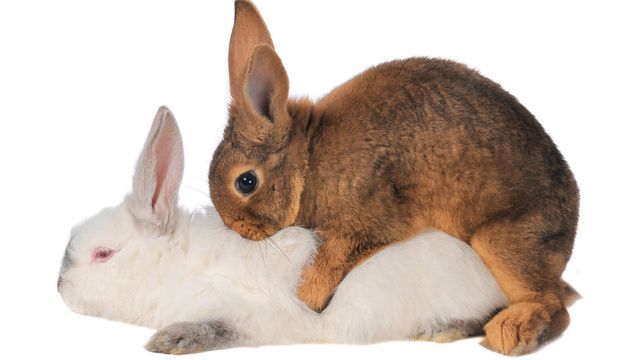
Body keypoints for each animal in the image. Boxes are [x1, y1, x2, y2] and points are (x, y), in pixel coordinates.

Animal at [57, 107, 508, 354]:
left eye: (103, 254)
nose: (60, 288)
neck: (177, 267)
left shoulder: (259, 317)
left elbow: (221, 327)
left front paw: (171, 341)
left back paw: (440, 330)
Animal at [210, 0, 580, 354]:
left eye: (246, 182)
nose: (235, 228)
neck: (309, 160)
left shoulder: (374, 215)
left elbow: (336, 254)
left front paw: (307, 295)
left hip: (499, 243)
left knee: (555, 304)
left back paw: (512, 331)